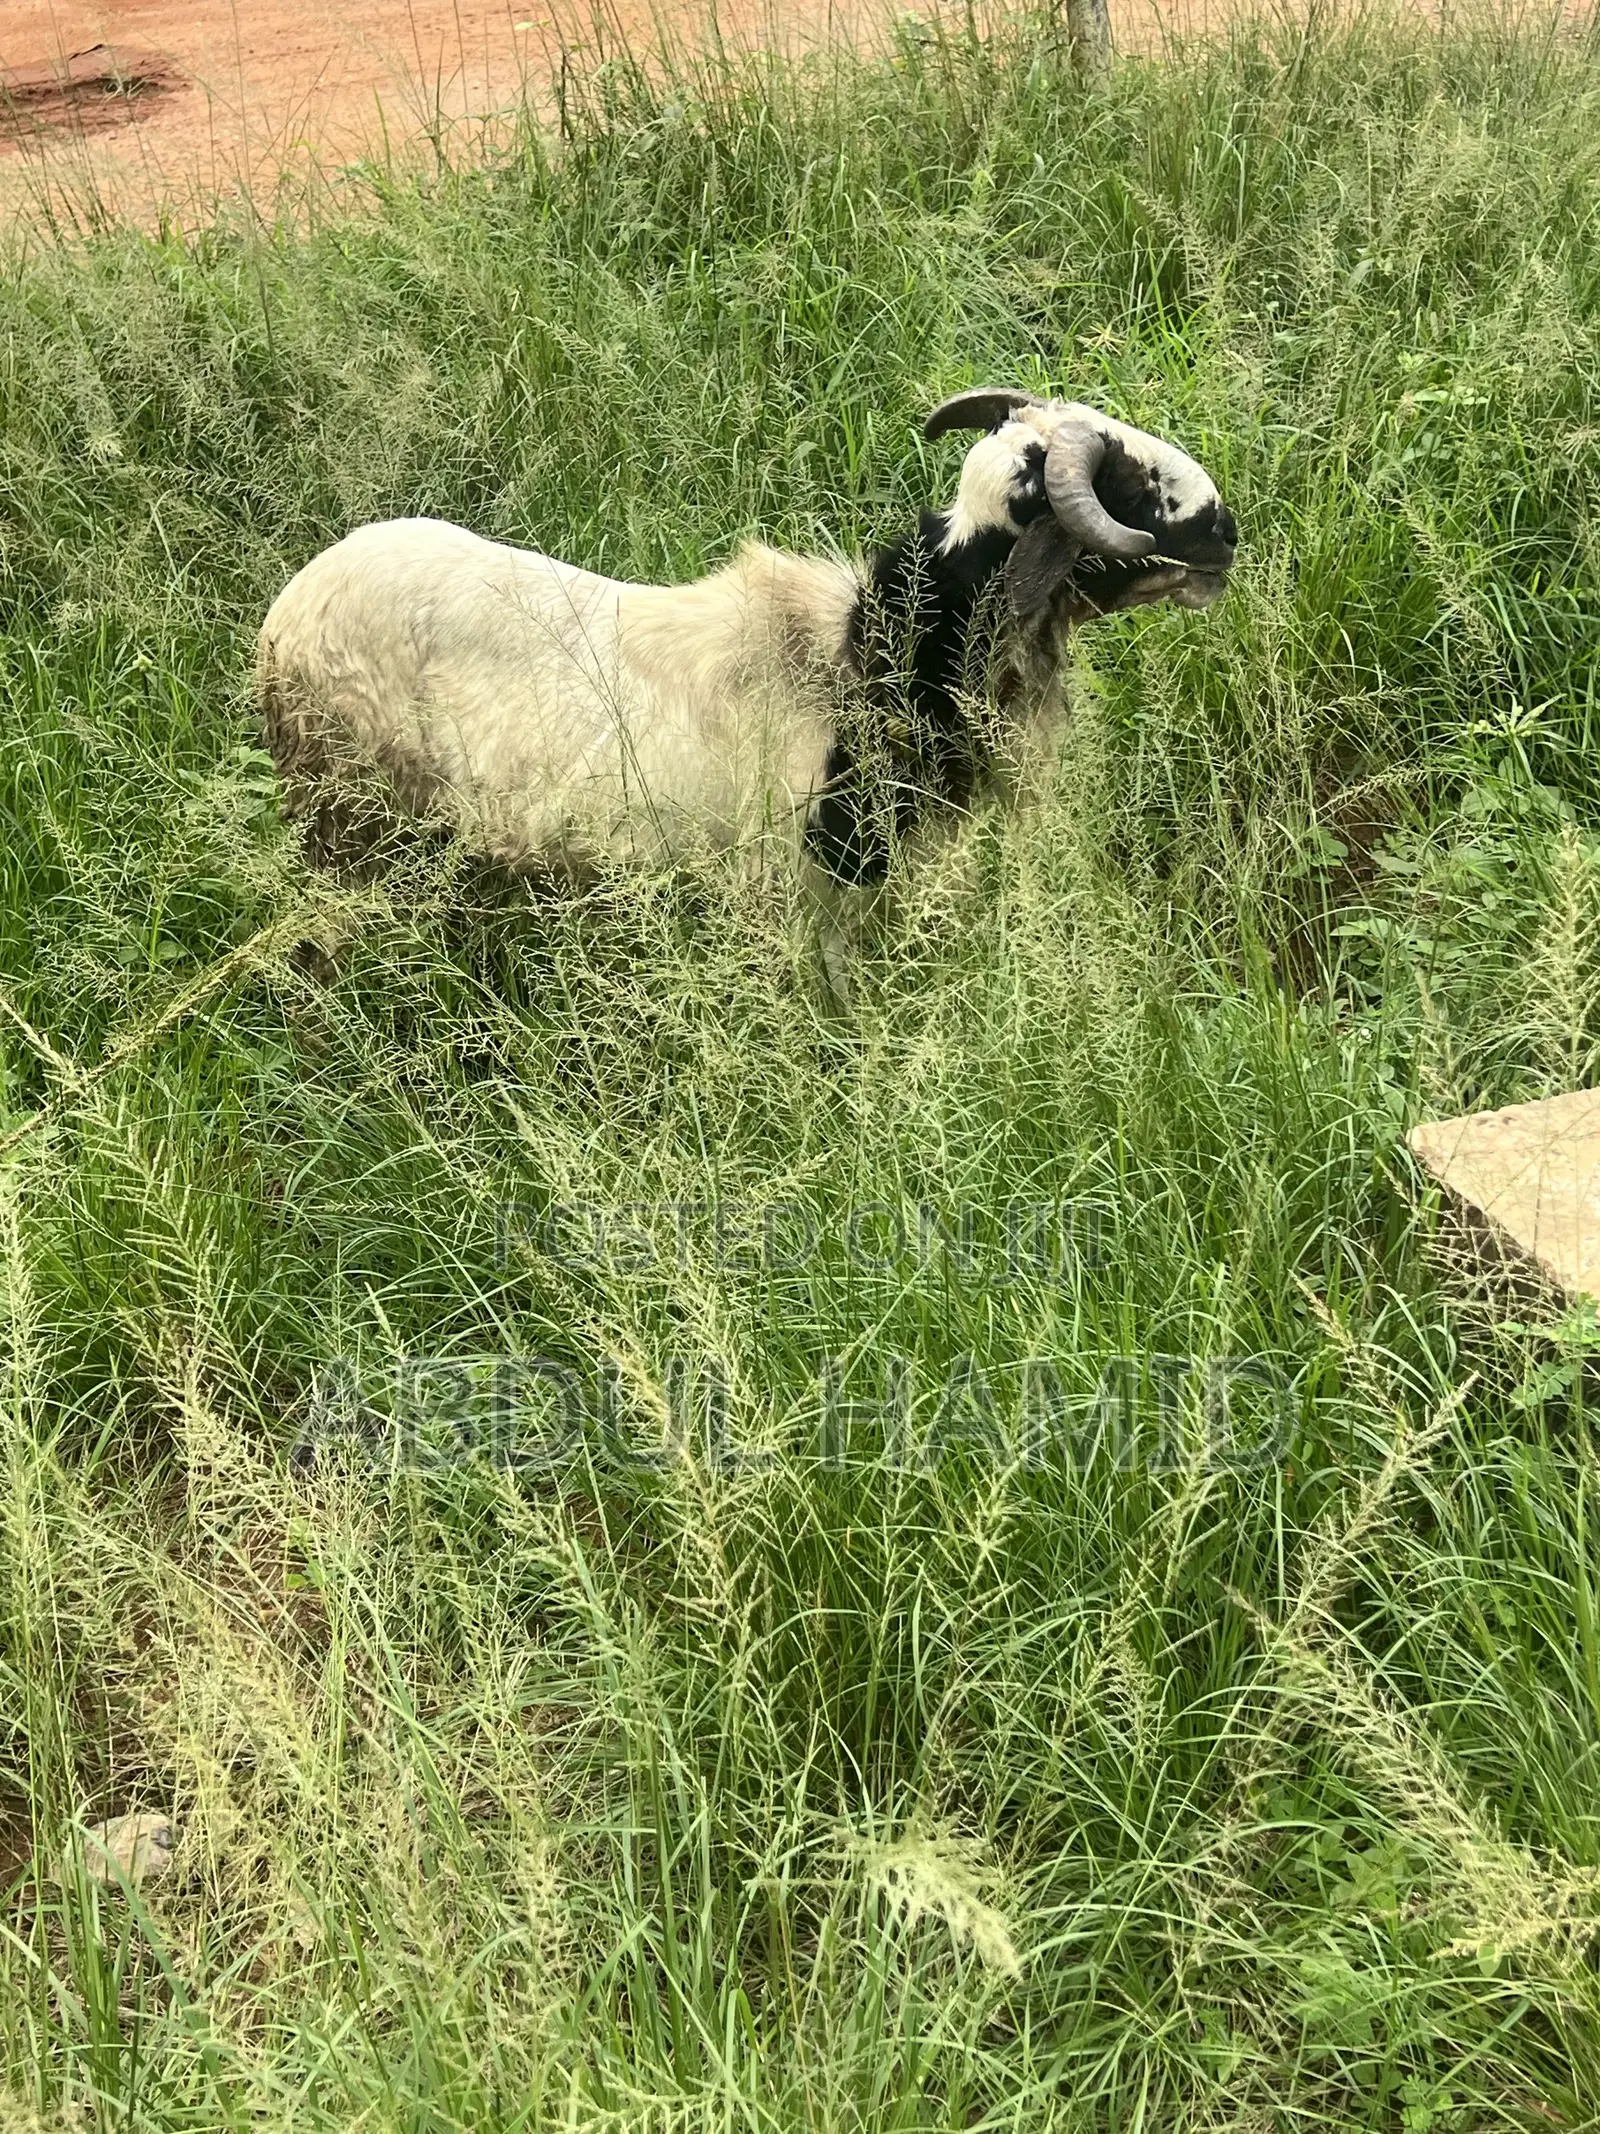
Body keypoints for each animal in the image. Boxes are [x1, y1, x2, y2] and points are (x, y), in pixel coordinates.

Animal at [257, 387, 1237, 972]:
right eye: (1128, 481)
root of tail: (283, 618)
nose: (1227, 531)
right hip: (354, 833)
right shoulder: (792, 898)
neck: (870, 661)